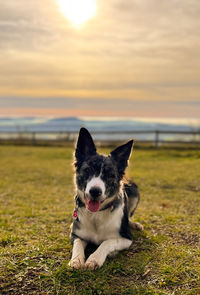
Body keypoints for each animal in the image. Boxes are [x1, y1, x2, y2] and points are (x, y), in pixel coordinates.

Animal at [69, 128, 142, 270]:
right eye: (87, 170)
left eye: (110, 175)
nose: (95, 191)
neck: (96, 214)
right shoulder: (76, 235)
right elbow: (78, 245)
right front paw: (76, 260)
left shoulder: (126, 239)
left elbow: (107, 242)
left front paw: (94, 259)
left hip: (135, 192)